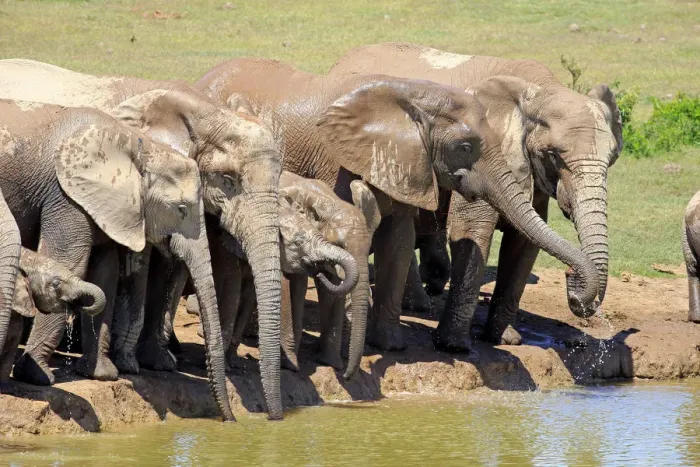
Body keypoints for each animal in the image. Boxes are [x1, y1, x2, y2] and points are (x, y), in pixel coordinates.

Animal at [195, 58, 599, 354]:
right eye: (466, 147)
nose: (575, 290)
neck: (416, 99)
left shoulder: (407, 164)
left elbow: (399, 240)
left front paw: (390, 346)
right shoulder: (339, 160)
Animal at [329, 43, 622, 348]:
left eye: (613, 157)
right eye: (553, 155)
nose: (571, 278)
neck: (541, 89)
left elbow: (524, 244)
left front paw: (504, 339)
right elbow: (472, 229)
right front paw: (454, 345)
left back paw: (419, 304)